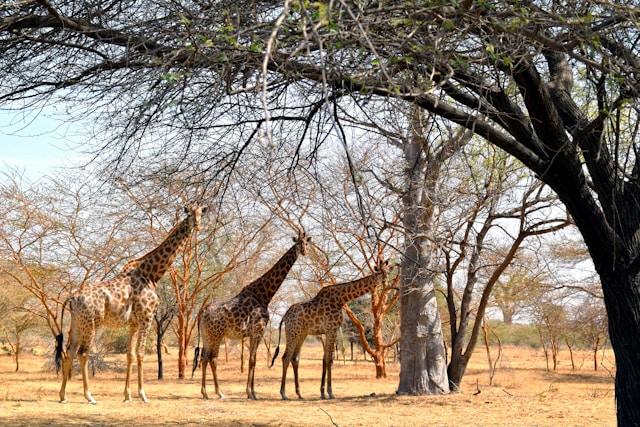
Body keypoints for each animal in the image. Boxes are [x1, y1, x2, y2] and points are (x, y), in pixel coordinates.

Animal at [55, 204, 208, 404]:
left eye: (201, 213)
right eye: (189, 214)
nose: (197, 225)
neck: (152, 274)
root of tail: (72, 298)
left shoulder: (133, 323)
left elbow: (130, 355)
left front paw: (127, 395)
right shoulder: (146, 318)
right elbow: (141, 353)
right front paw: (143, 395)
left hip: (77, 323)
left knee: (69, 351)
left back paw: (63, 395)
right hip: (92, 323)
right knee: (83, 353)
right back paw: (89, 396)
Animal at [198, 231, 312, 402]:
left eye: (306, 242)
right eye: (298, 243)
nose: (304, 251)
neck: (264, 295)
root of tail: (203, 311)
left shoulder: (254, 333)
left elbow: (253, 360)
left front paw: (251, 392)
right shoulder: (258, 331)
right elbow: (252, 360)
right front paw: (251, 393)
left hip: (207, 335)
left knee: (204, 357)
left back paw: (205, 393)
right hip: (216, 335)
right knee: (213, 358)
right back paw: (220, 392)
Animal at [270, 260, 390, 402]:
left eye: (388, 271)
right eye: (379, 272)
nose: (386, 282)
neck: (342, 298)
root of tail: (285, 316)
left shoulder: (331, 330)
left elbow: (326, 360)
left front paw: (322, 392)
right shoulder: (331, 329)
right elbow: (329, 360)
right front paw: (330, 392)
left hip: (302, 334)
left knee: (295, 358)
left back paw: (299, 394)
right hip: (292, 332)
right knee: (286, 358)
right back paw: (283, 394)